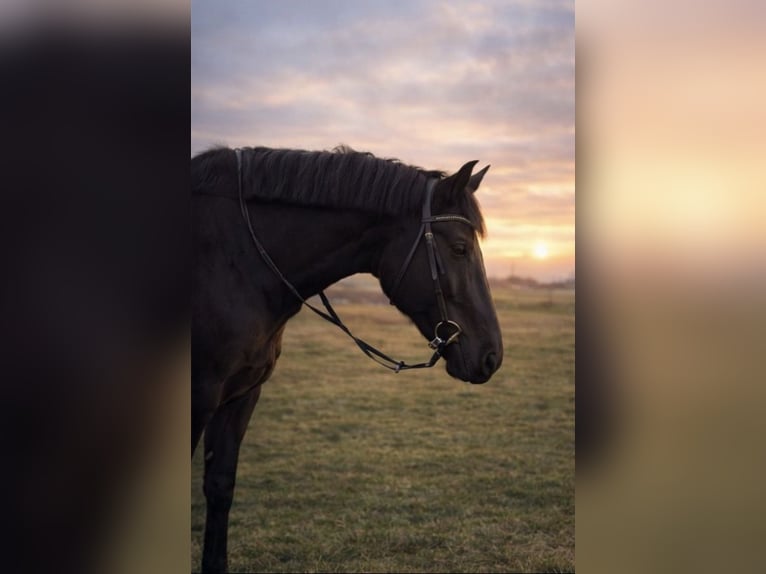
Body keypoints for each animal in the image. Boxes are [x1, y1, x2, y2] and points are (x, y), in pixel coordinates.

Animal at [191, 145, 503, 573]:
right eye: (459, 248)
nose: (493, 356)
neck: (233, 260)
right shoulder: (198, 397)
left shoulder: (241, 394)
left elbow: (220, 486)